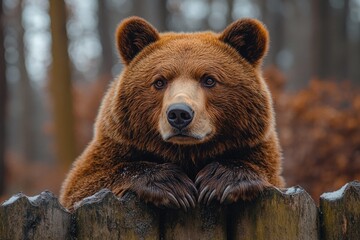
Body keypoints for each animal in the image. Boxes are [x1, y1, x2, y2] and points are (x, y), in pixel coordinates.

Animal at [59, 16, 284, 211]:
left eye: (209, 79)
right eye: (159, 81)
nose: (179, 113)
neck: (186, 153)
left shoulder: (253, 147)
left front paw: (218, 180)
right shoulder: (116, 146)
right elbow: (82, 186)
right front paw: (173, 185)